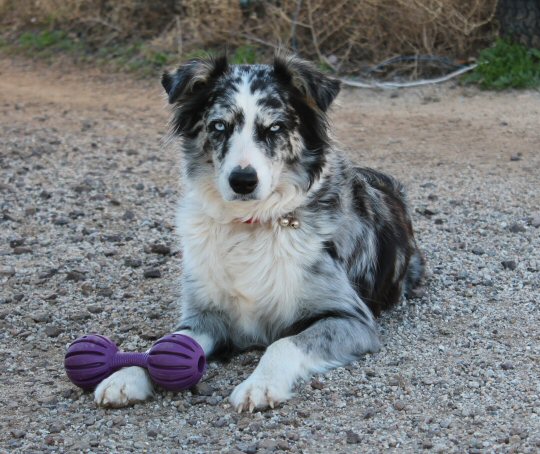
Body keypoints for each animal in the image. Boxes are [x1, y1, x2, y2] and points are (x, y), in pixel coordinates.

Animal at [95, 53, 424, 412]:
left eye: (275, 127)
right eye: (219, 126)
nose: (242, 181)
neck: (251, 222)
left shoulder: (351, 317)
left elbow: (283, 344)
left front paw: (260, 385)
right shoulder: (205, 314)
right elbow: (163, 344)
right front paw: (125, 375)